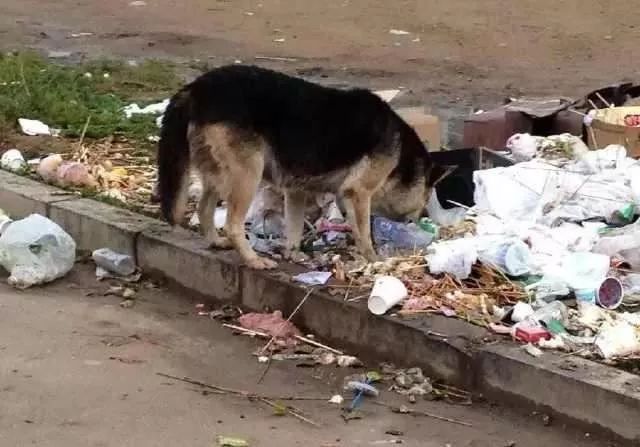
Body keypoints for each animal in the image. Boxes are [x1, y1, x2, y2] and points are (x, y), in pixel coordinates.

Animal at [158, 65, 452, 270]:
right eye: (424, 199)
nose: (420, 221)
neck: (403, 156)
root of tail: (197, 87)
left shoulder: (296, 192)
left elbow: (295, 228)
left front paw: (294, 253)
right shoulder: (358, 193)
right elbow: (364, 233)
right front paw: (373, 259)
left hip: (218, 175)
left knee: (204, 208)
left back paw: (215, 241)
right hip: (247, 175)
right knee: (232, 224)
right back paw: (253, 260)